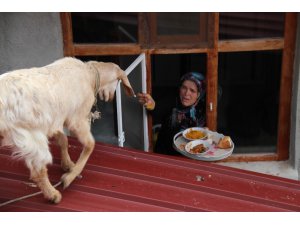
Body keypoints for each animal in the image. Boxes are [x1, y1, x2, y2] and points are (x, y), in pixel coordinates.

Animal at [0, 57, 134, 203]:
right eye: (117, 82)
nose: (111, 98)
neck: (89, 74)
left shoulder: (58, 120)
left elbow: (63, 140)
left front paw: (67, 164)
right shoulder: (77, 120)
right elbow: (90, 145)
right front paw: (70, 177)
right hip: (30, 137)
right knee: (38, 171)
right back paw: (53, 195)